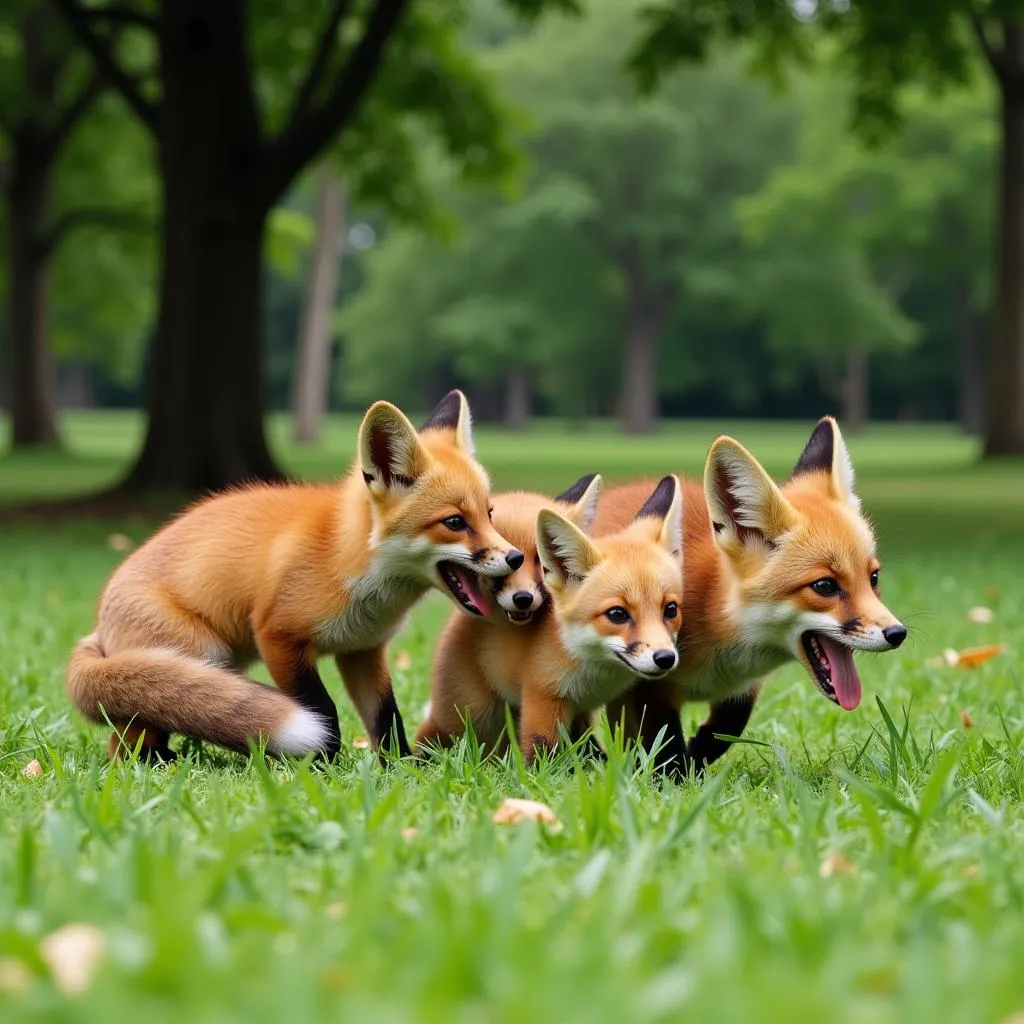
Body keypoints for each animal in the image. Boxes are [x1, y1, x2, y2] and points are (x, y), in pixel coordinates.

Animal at [68, 391, 524, 761]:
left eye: (489, 514)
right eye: (454, 522)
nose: (516, 557)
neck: (346, 561)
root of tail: (99, 626)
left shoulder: (362, 651)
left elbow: (386, 717)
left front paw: (399, 767)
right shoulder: (278, 637)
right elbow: (323, 712)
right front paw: (324, 767)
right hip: (197, 653)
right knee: (125, 740)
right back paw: (156, 761)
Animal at [411, 473, 684, 761]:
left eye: (671, 610)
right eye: (617, 614)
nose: (665, 658)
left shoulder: (584, 710)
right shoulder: (541, 696)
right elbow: (542, 755)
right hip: (466, 715)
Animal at [598, 415, 909, 774]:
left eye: (873, 578)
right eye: (825, 586)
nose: (898, 633)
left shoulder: (741, 689)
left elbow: (730, 725)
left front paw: (697, 756)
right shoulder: (647, 679)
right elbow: (666, 744)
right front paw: (676, 777)